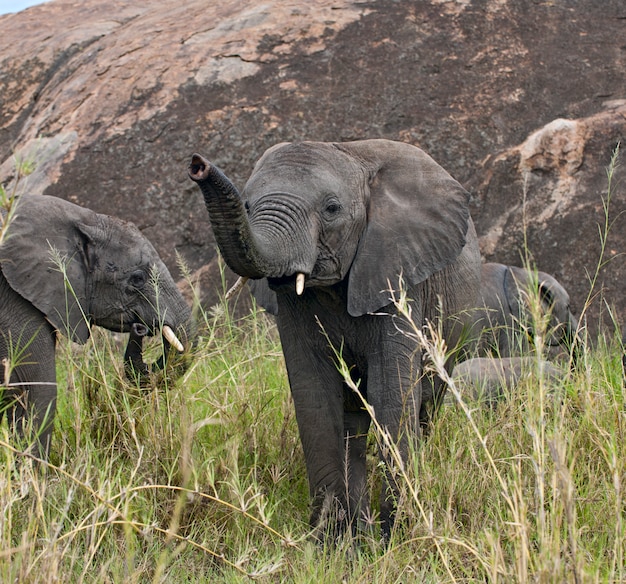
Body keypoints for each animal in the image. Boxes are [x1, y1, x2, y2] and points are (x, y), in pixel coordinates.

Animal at [185, 139, 478, 540]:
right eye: (247, 206)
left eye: (332, 209)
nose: (197, 164)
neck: (354, 157)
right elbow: (314, 394)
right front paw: (331, 542)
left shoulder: (396, 272)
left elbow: (392, 391)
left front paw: (395, 537)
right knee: (353, 427)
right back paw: (358, 531)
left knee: (424, 406)